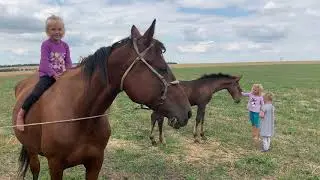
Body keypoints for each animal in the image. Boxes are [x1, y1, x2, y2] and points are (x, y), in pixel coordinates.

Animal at [12, 19, 191, 179]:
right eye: (162, 68)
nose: (188, 112)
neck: (81, 115)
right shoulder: (55, 166)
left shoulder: (95, 162)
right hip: (31, 150)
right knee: (35, 169)